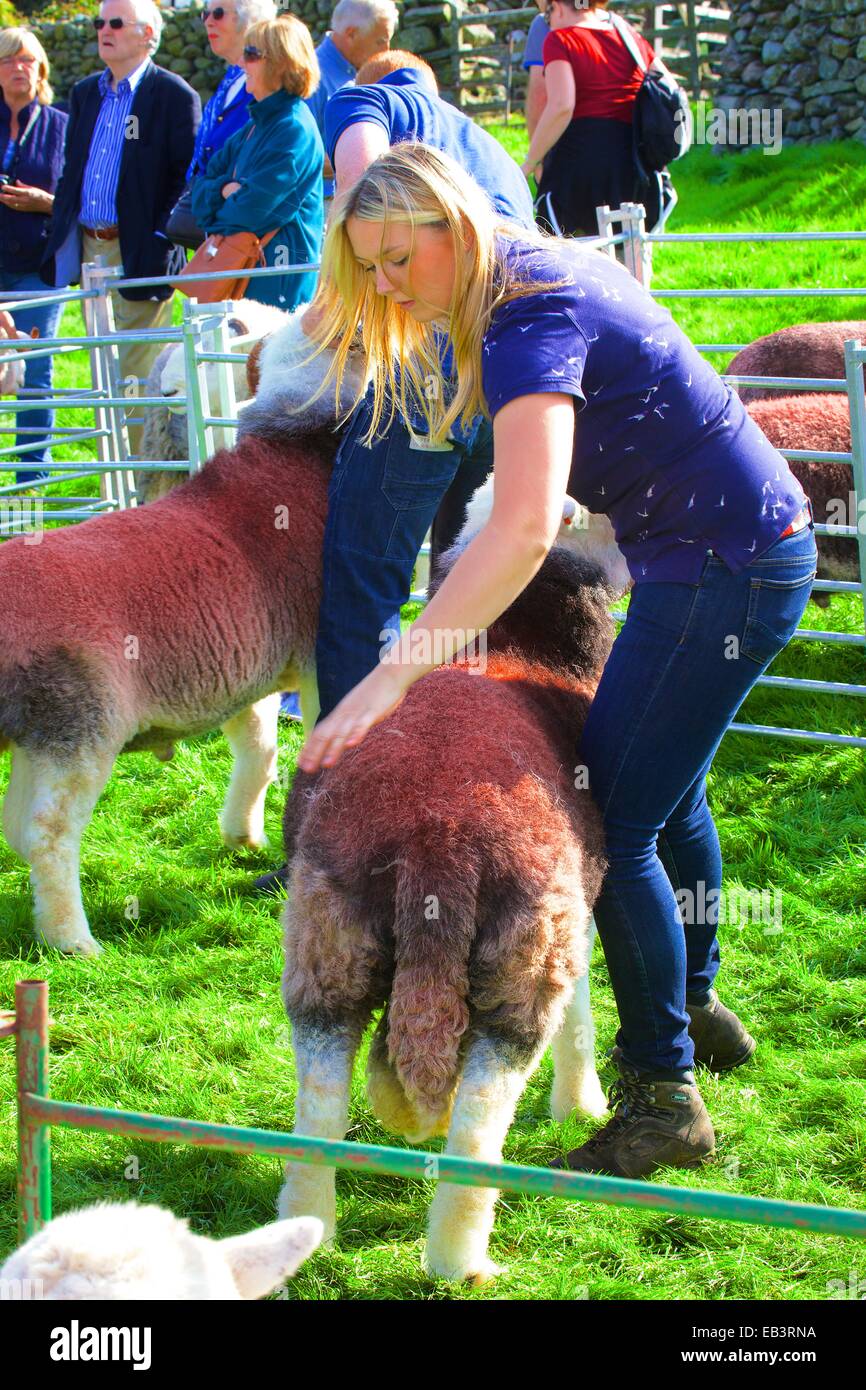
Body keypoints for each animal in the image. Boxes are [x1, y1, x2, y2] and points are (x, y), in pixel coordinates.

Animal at [0, 304, 366, 956]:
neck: (298, 446)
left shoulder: (247, 663)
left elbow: (258, 745)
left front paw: (243, 834)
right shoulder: (312, 655)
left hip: (34, 734)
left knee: (17, 829)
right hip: (76, 724)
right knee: (47, 832)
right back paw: (74, 942)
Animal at [279, 486, 631, 1278]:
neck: (516, 636)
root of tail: (434, 839)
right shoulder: (576, 910)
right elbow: (583, 1010)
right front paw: (581, 1103)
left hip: (326, 940)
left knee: (319, 1102)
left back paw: (308, 1228)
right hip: (522, 956)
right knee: (477, 1122)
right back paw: (460, 1260)